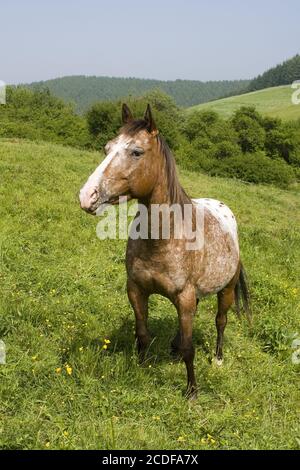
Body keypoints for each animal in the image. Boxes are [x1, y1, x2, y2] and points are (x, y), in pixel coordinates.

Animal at [78, 104, 250, 398]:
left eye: (136, 152)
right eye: (106, 148)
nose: (87, 195)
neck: (162, 240)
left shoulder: (184, 298)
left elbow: (190, 348)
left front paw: (192, 391)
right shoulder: (136, 290)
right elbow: (143, 334)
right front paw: (143, 366)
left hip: (225, 290)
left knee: (221, 321)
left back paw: (217, 359)